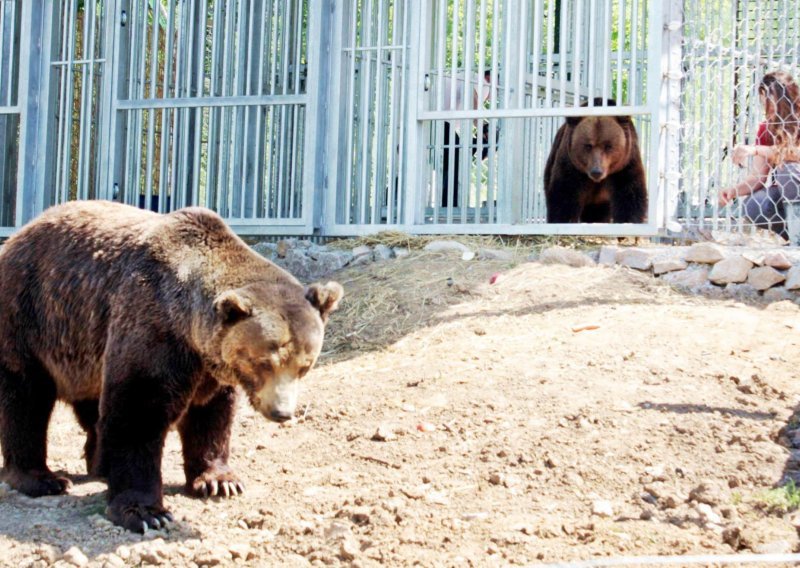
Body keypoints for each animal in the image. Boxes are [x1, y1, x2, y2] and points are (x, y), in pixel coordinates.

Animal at [0, 200, 340, 532]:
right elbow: (138, 412)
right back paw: (42, 478)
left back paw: (99, 464)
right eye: (265, 362)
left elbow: (211, 417)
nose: (282, 412)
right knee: (25, 400)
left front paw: (219, 481)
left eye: (304, 365)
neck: (190, 330)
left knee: (91, 405)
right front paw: (146, 512)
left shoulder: (209, 369)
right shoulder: (152, 326)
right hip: (31, 315)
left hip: (84, 347)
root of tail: (18, 235)